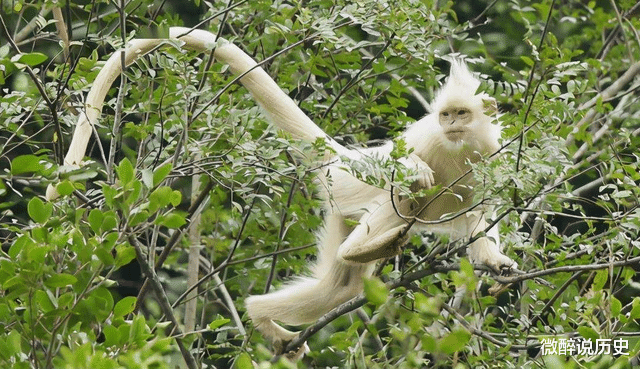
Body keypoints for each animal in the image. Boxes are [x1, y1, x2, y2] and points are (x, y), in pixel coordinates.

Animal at [46, 27, 516, 358]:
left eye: (462, 113)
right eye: (446, 115)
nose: (451, 123)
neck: (459, 145)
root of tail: (338, 162)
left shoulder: (493, 151)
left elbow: (485, 211)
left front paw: (495, 263)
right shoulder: (428, 137)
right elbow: (406, 171)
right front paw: (414, 170)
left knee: (340, 289)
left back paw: (270, 309)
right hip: (352, 190)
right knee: (401, 200)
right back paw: (355, 253)